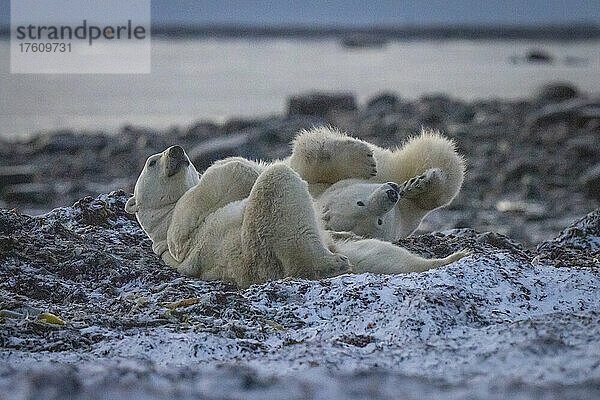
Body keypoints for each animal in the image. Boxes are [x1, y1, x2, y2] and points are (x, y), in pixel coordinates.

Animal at [124, 139, 466, 286]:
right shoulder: (186, 223)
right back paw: (329, 264)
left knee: (385, 257)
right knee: (279, 185)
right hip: (257, 242)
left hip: (356, 250)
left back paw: (454, 256)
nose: (177, 151)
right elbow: (231, 172)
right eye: (152, 162)